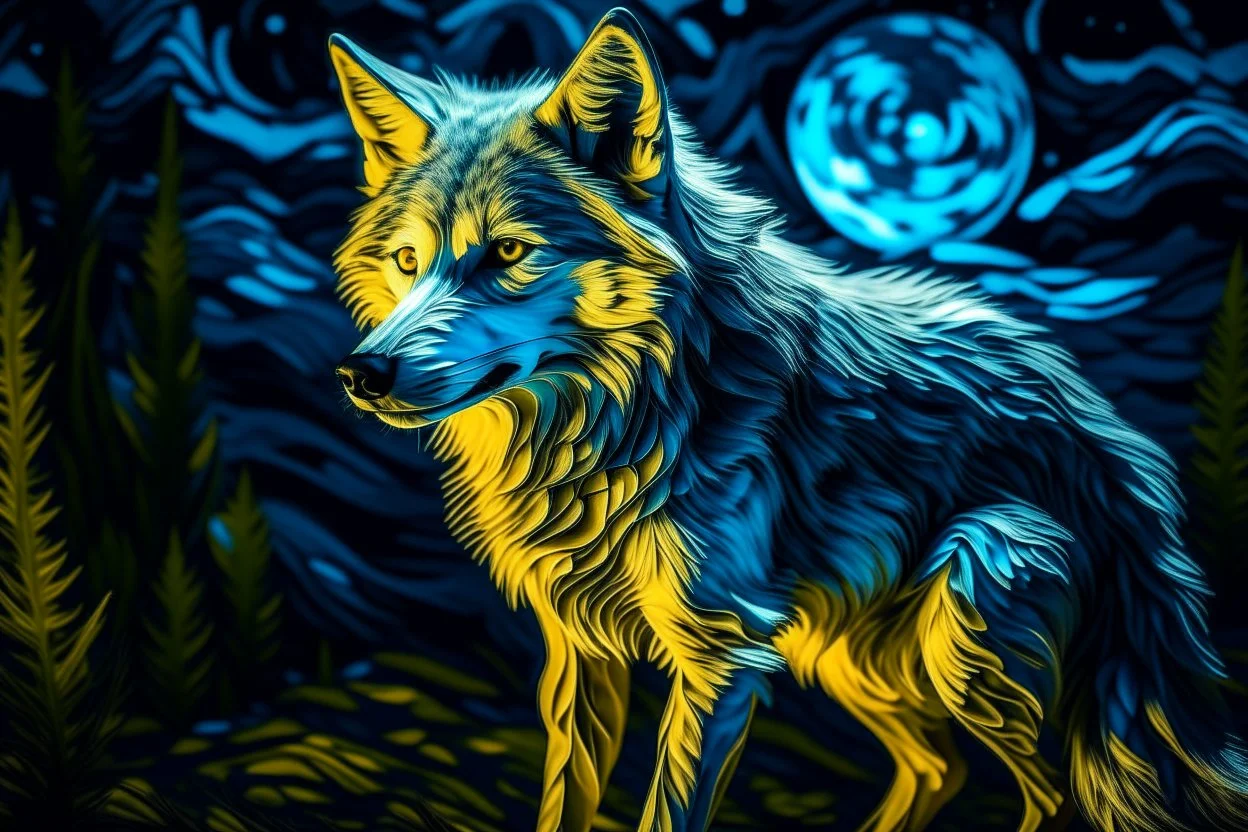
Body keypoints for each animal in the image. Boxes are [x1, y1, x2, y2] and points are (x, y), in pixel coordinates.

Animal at [329, 9, 1248, 831]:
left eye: (510, 253)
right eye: (407, 260)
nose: (361, 374)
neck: (613, 424)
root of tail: (1115, 442)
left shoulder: (720, 652)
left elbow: (668, 810)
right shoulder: (580, 650)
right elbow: (566, 803)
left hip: (966, 619)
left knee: (1056, 797)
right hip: (844, 653)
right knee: (940, 768)